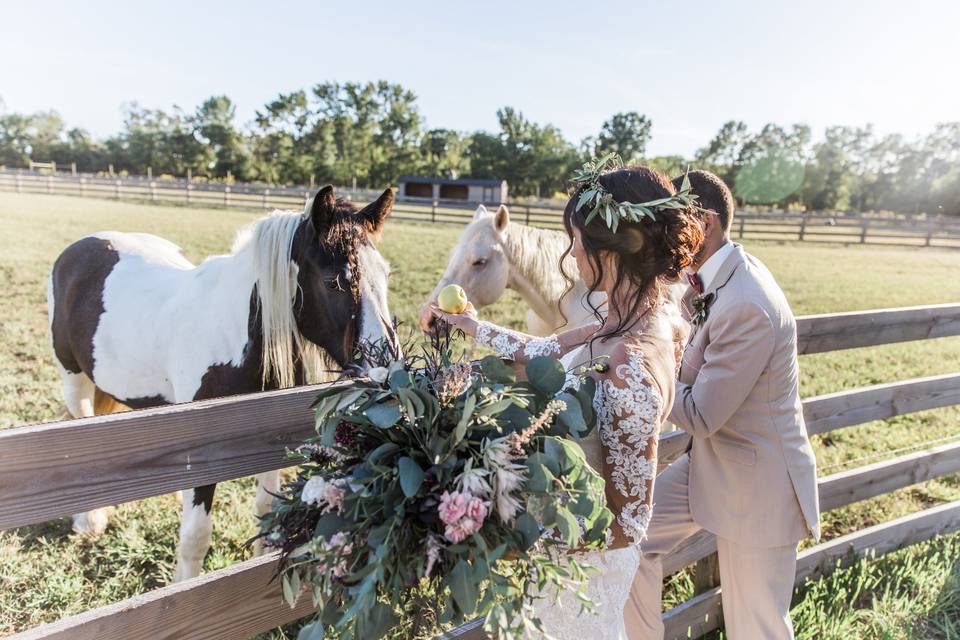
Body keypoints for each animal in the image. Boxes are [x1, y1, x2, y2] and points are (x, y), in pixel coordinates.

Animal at [47, 185, 400, 580]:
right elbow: (195, 537)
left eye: (385, 275)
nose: (385, 369)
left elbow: (265, 510)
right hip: (73, 379)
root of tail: (80, 247)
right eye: (335, 281)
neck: (238, 339)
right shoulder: (204, 456)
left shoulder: (268, 441)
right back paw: (88, 520)